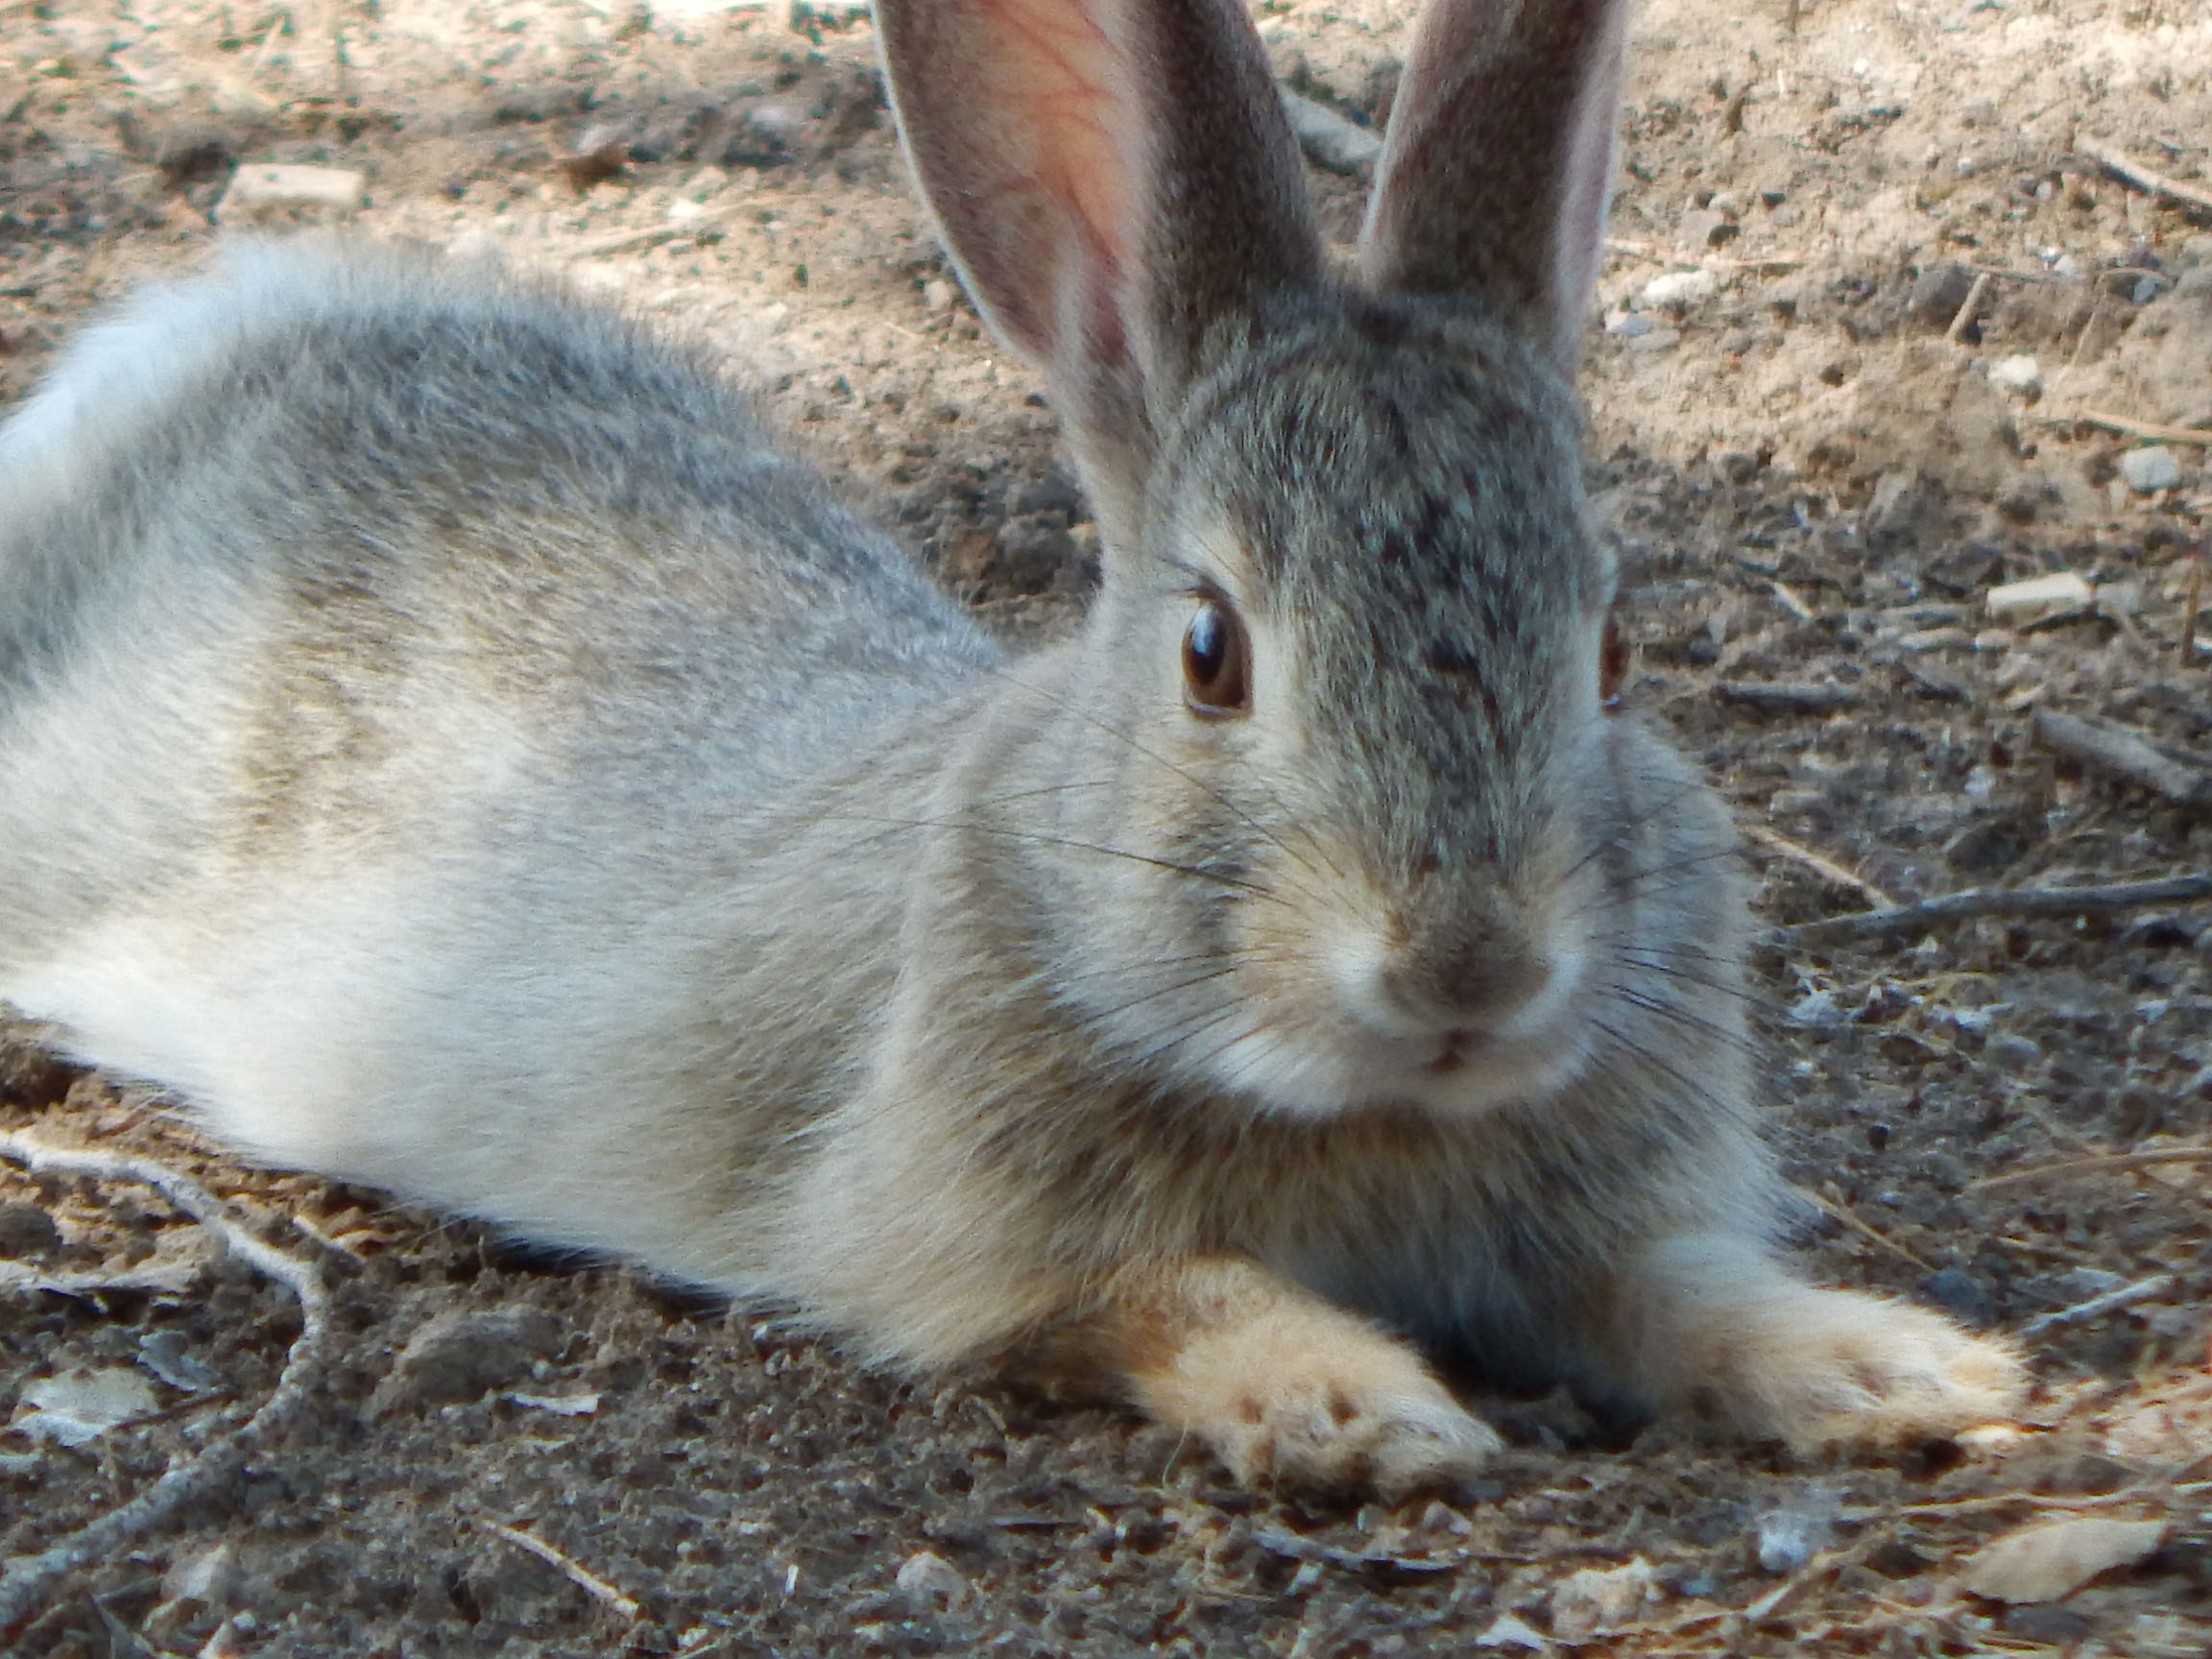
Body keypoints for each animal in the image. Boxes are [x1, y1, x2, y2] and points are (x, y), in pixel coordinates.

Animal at [0, 0, 2026, 1503]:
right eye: (1209, 655)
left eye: (1612, 650)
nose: (1465, 968)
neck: (1367, 1101)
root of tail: (190, 348)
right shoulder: (960, 1232)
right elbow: (1168, 1290)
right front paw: (1357, 1406)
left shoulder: (1606, 1226)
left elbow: (1679, 1286)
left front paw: (1897, 1367)